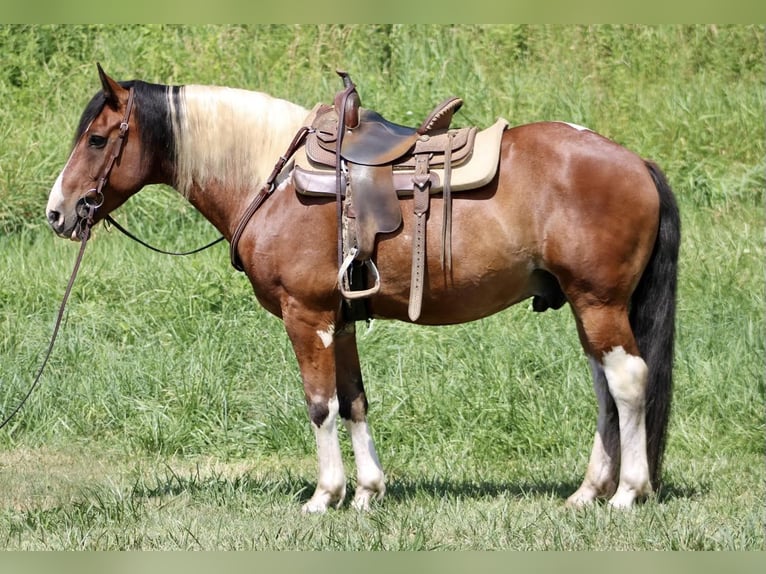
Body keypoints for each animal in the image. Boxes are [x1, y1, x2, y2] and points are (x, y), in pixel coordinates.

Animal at [45, 65, 680, 516]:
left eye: (98, 140)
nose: (57, 213)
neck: (273, 180)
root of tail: (637, 162)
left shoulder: (307, 316)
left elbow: (320, 404)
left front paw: (325, 496)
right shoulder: (340, 317)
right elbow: (354, 400)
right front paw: (369, 491)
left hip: (599, 302)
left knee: (627, 382)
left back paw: (628, 492)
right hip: (586, 305)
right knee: (604, 388)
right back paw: (588, 491)